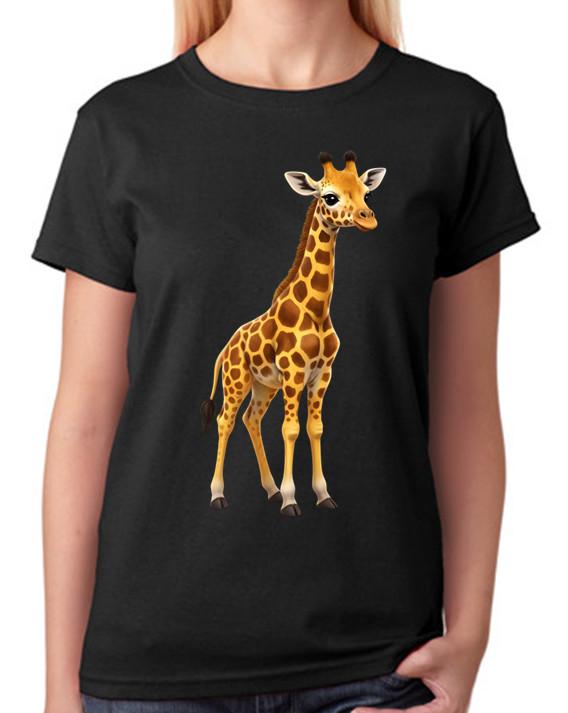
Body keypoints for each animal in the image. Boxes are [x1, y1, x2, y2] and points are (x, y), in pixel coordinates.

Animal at [201, 151, 386, 516]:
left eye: (367, 194)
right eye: (329, 197)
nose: (368, 218)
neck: (316, 310)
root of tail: (225, 349)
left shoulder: (322, 373)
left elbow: (315, 428)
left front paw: (322, 494)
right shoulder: (294, 371)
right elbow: (290, 429)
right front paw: (290, 499)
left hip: (264, 385)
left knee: (251, 419)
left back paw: (270, 489)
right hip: (237, 379)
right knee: (226, 420)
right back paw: (217, 494)